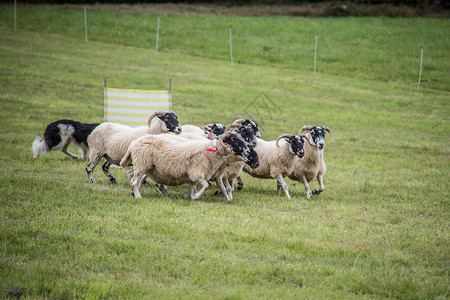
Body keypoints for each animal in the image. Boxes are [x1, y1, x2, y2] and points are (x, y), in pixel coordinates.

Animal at [119, 133, 260, 199]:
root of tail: (135, 142)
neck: (210, 151)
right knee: (135, 181)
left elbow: (194, 186)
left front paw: (189, 197)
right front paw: (195, 196)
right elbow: (206, 185)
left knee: (138, 180)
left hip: (148, 167)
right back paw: (138, 196)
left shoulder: (196, 175)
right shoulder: (196, 172)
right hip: (142, 164)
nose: (247, 151)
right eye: (234, 140)